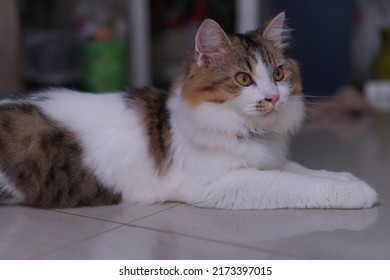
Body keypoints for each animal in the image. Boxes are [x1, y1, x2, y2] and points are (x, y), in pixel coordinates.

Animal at [0, 13, 378, 210]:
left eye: (278, 75)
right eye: (243, 79)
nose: (272, 98)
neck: (250, 133)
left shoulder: (265, 159)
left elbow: (303, 169)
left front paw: (349, 178)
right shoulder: (222, 183)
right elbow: (296, 183)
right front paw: (357, 192)